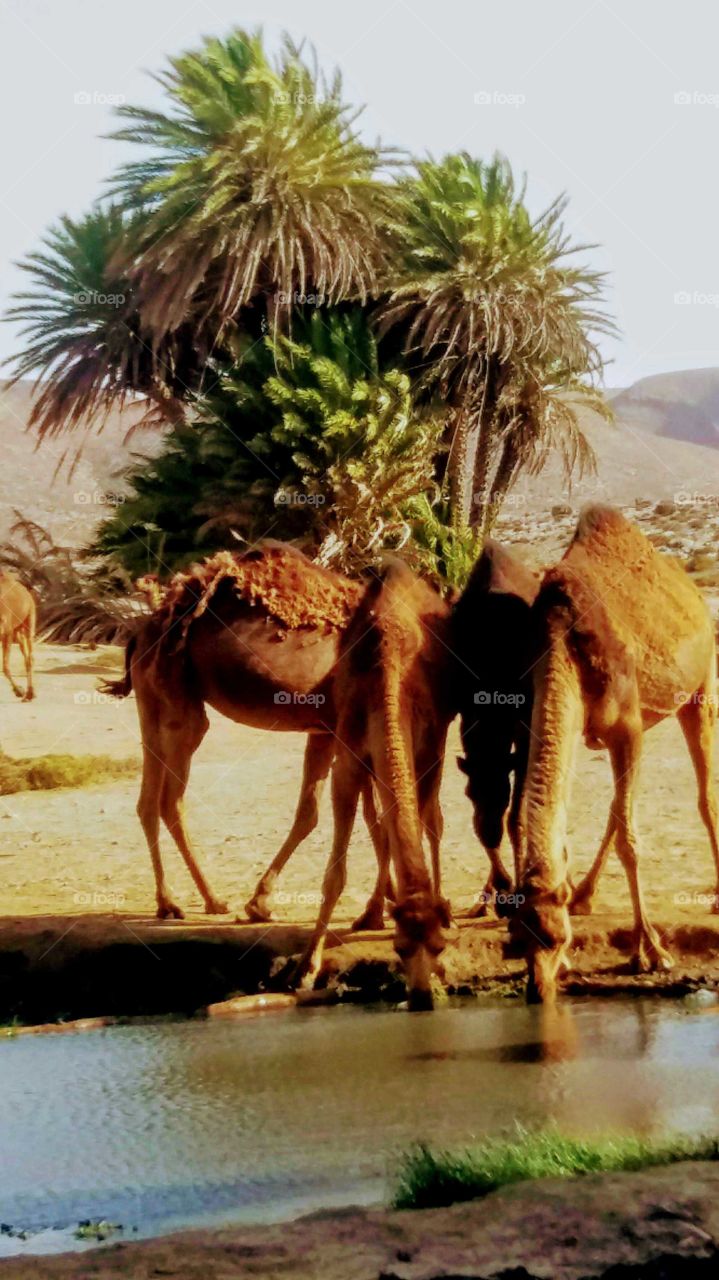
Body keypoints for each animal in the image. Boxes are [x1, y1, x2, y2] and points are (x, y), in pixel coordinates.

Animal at [0, 570, 36, 701]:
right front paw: (19, 690)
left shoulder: (7, 633)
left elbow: (5, 666)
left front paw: (19, 691)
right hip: (17, 631)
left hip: (29, 620)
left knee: (30, 658)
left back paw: (29, 693)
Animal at [293, 559, 454, 1009]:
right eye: (400, 948)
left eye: (438, 947)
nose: (422, 998)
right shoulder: (350, 757)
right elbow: (335, 874)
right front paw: (306, 967)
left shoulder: (429, 747)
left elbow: (424, 822)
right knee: (381, 821)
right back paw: (373, 911)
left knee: (430, 820)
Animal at [508, 504, 719, 1003]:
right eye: (518, 940)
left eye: (555, 937)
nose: (538, 991)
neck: (563, 646)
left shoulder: (628, 727)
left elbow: (630, 839)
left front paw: (651, 952)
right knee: (617, 806)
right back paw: (585, 893)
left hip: (700, 686)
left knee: (704, 794)